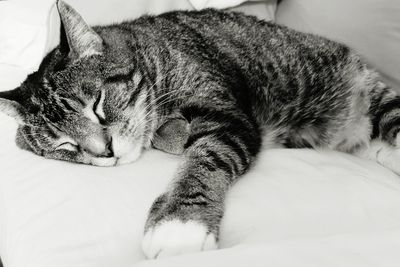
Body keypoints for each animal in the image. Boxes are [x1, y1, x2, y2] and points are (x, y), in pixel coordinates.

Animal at [0, 0, 400, 260]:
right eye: (66, 146)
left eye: (97, 103)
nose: (105, 151)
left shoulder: (227, 119)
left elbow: (203, 162)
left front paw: (180, 224)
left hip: (378, 103)